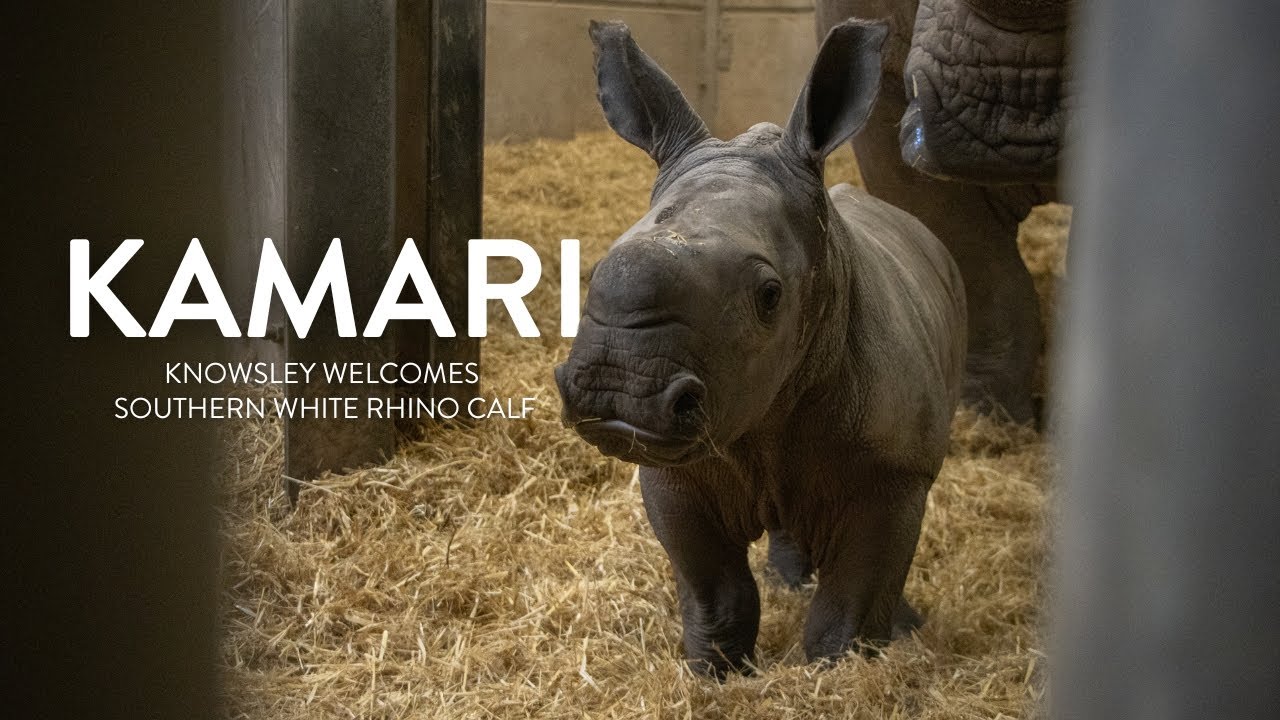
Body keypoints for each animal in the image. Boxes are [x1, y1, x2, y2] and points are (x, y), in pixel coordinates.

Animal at [554, 19, 967, 676]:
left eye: (769, 296)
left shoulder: (895, 474)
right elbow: (716, 590)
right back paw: (789, 582)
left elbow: (851, 603)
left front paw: (839, 674)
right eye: (593, 267)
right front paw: (715, 674)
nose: (619, 387)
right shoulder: (673, 473)